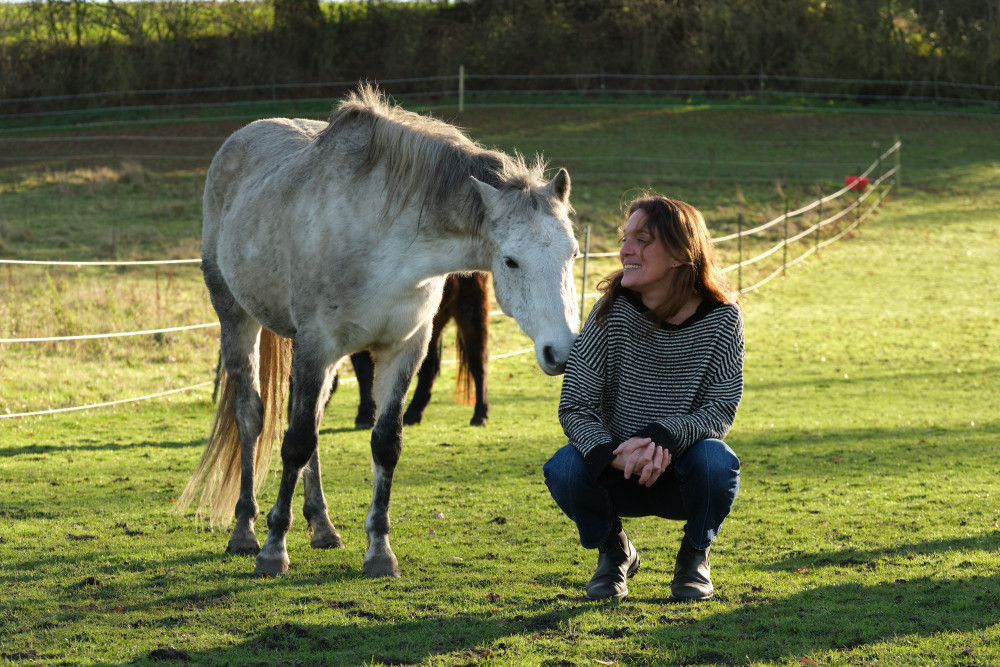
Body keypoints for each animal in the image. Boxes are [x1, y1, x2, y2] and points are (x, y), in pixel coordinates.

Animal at [180, 87, 580, 580]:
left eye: (573, 253)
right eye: (511, 261)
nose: (561, 351)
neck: (387, 241)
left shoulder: (403, 347)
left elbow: (383, 443)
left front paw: (379, 552)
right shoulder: (317, 344)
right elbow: (294, 443)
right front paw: (274, 550)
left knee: (308, 418)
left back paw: (322, 526)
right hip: (237, 318)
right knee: (252, 416)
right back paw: (245, 530)